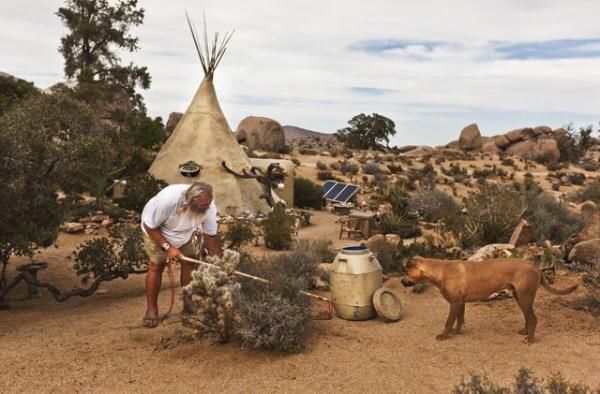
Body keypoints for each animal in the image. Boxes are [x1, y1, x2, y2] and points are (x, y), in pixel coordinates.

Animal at [404, 258, 576, 344]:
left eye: (405, 271)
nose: (401, 281)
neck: (439, 270)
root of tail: (535, 266)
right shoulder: (460, 303)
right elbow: (458, 320)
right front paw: (456, 332)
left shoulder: (455, 303)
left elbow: (448, 322)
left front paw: (444, 335)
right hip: (520, 297)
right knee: (528, 318)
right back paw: (525, 332)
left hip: (524, 298)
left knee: (533, 318)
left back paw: (530, 339)